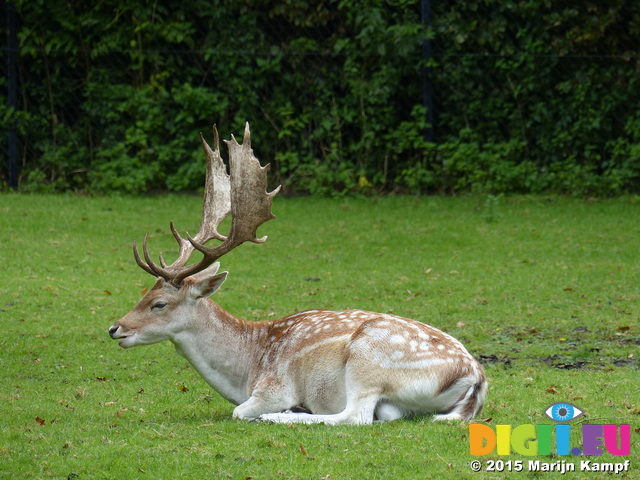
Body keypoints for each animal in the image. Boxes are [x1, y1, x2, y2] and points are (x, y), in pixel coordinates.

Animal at [111, 123, 490, 424]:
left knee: (355, 416)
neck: (247, 368)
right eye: (144, 293)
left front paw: (282, 410)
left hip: (368, 361)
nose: (116, 328)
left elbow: (239, 411)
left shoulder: (274, 387)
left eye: (159, 304)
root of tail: (476, 377)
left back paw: (284, 416)